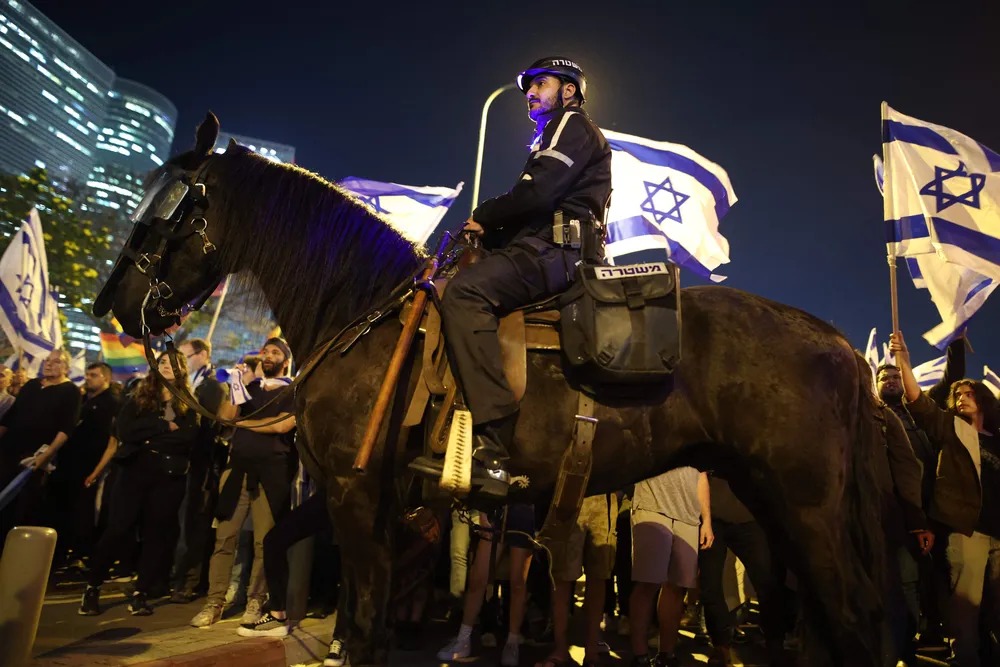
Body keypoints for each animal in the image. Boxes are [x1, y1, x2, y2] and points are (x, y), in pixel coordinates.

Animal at [97, 115, 888, 667]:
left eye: (172, 209)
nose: (115, 304)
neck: (363, 313)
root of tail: (837, 341)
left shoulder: (355, 494)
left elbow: (366, 615)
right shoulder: (369, 500)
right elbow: (347, 599)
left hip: (806, 510)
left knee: (852, 621)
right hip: (770, 507)